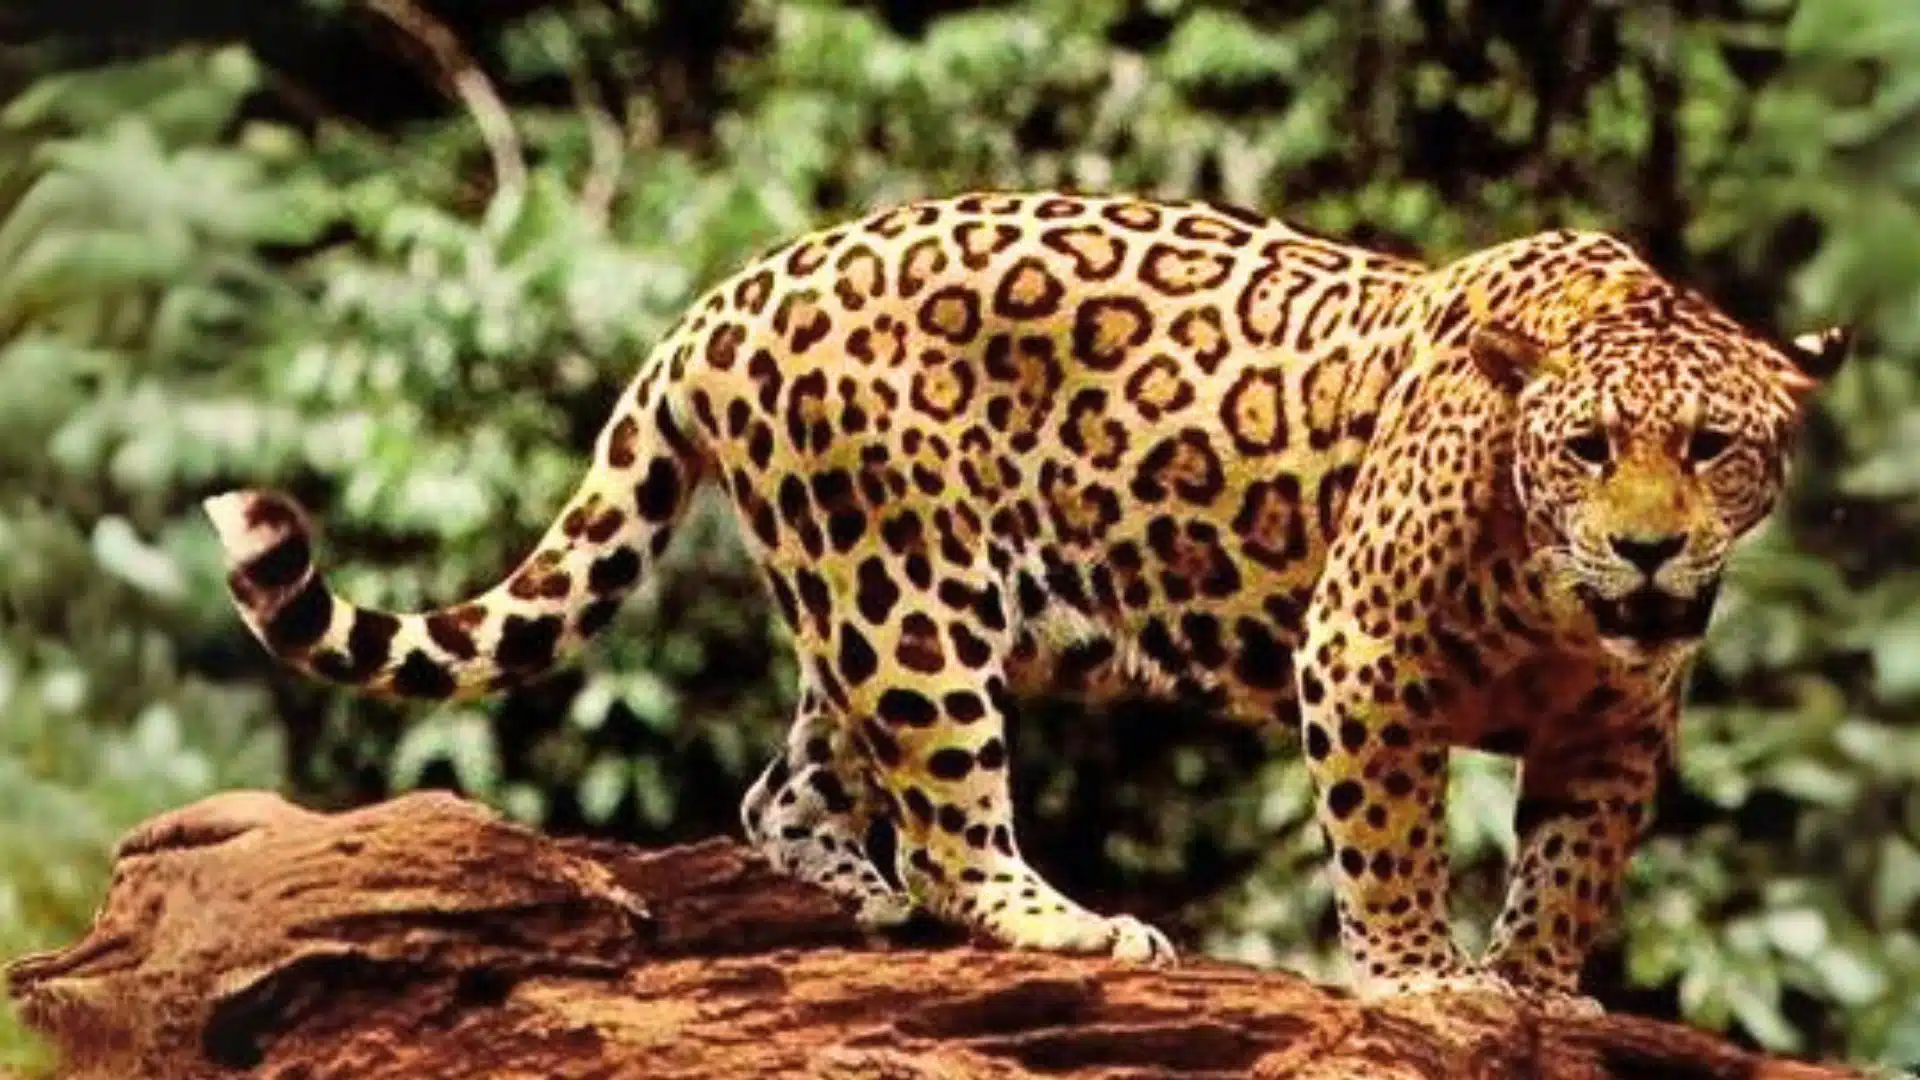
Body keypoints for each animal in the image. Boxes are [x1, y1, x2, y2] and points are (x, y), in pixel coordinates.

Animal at [202, 190, 1849, 1011]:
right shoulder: (1362, 656)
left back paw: (853, 898)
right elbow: (1389, 841)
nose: (1648, 551)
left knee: (790, 784)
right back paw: (1067, 927)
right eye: (1586, 450)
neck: (1558, 597)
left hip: (871, 602)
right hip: (910, 600)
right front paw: (1418, 985)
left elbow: (1572, 865)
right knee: (946, 825)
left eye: (1714, 449)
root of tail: (729, 293)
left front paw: (1541, 988)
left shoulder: (1615, 727)